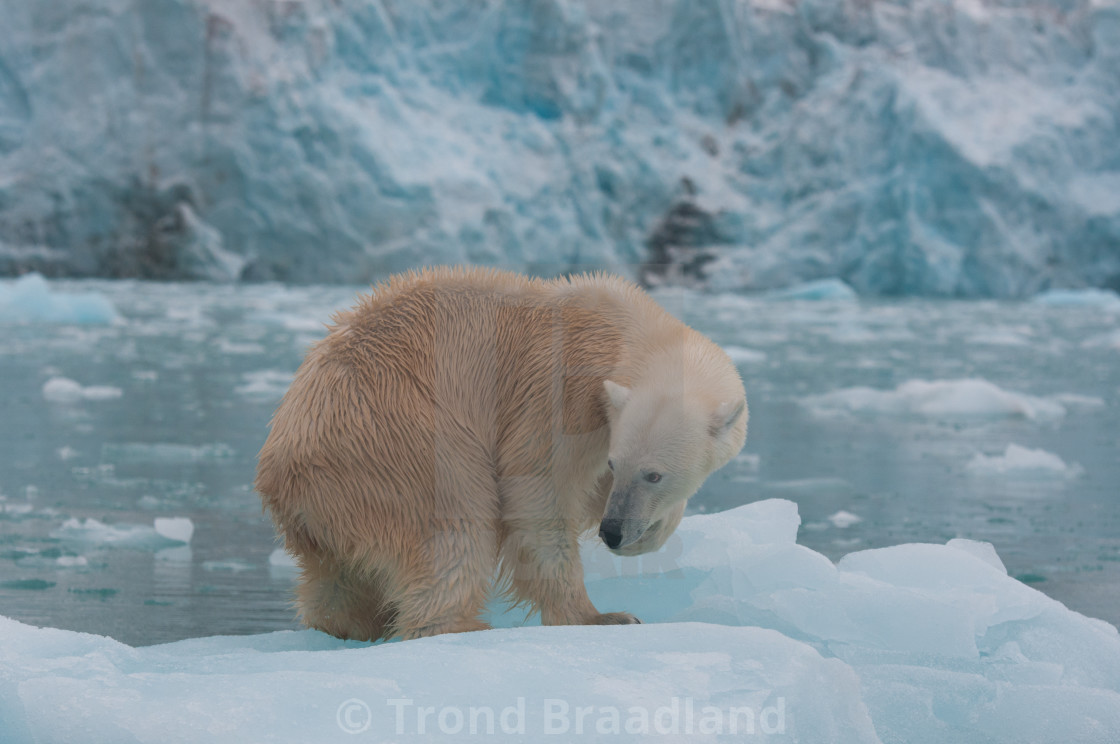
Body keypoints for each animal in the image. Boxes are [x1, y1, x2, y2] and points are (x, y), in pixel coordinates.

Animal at [254, 267, 743, 640]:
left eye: (653, 475)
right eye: (617, 464)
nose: (613, 532)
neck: (618, 328)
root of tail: (278, 473)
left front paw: (649, 534)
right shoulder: (557, 392)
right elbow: (538, 490)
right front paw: (600, 616)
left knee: (334, 579)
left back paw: (349, 623)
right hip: (391, 441)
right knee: (454, 525)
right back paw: (462, 627)